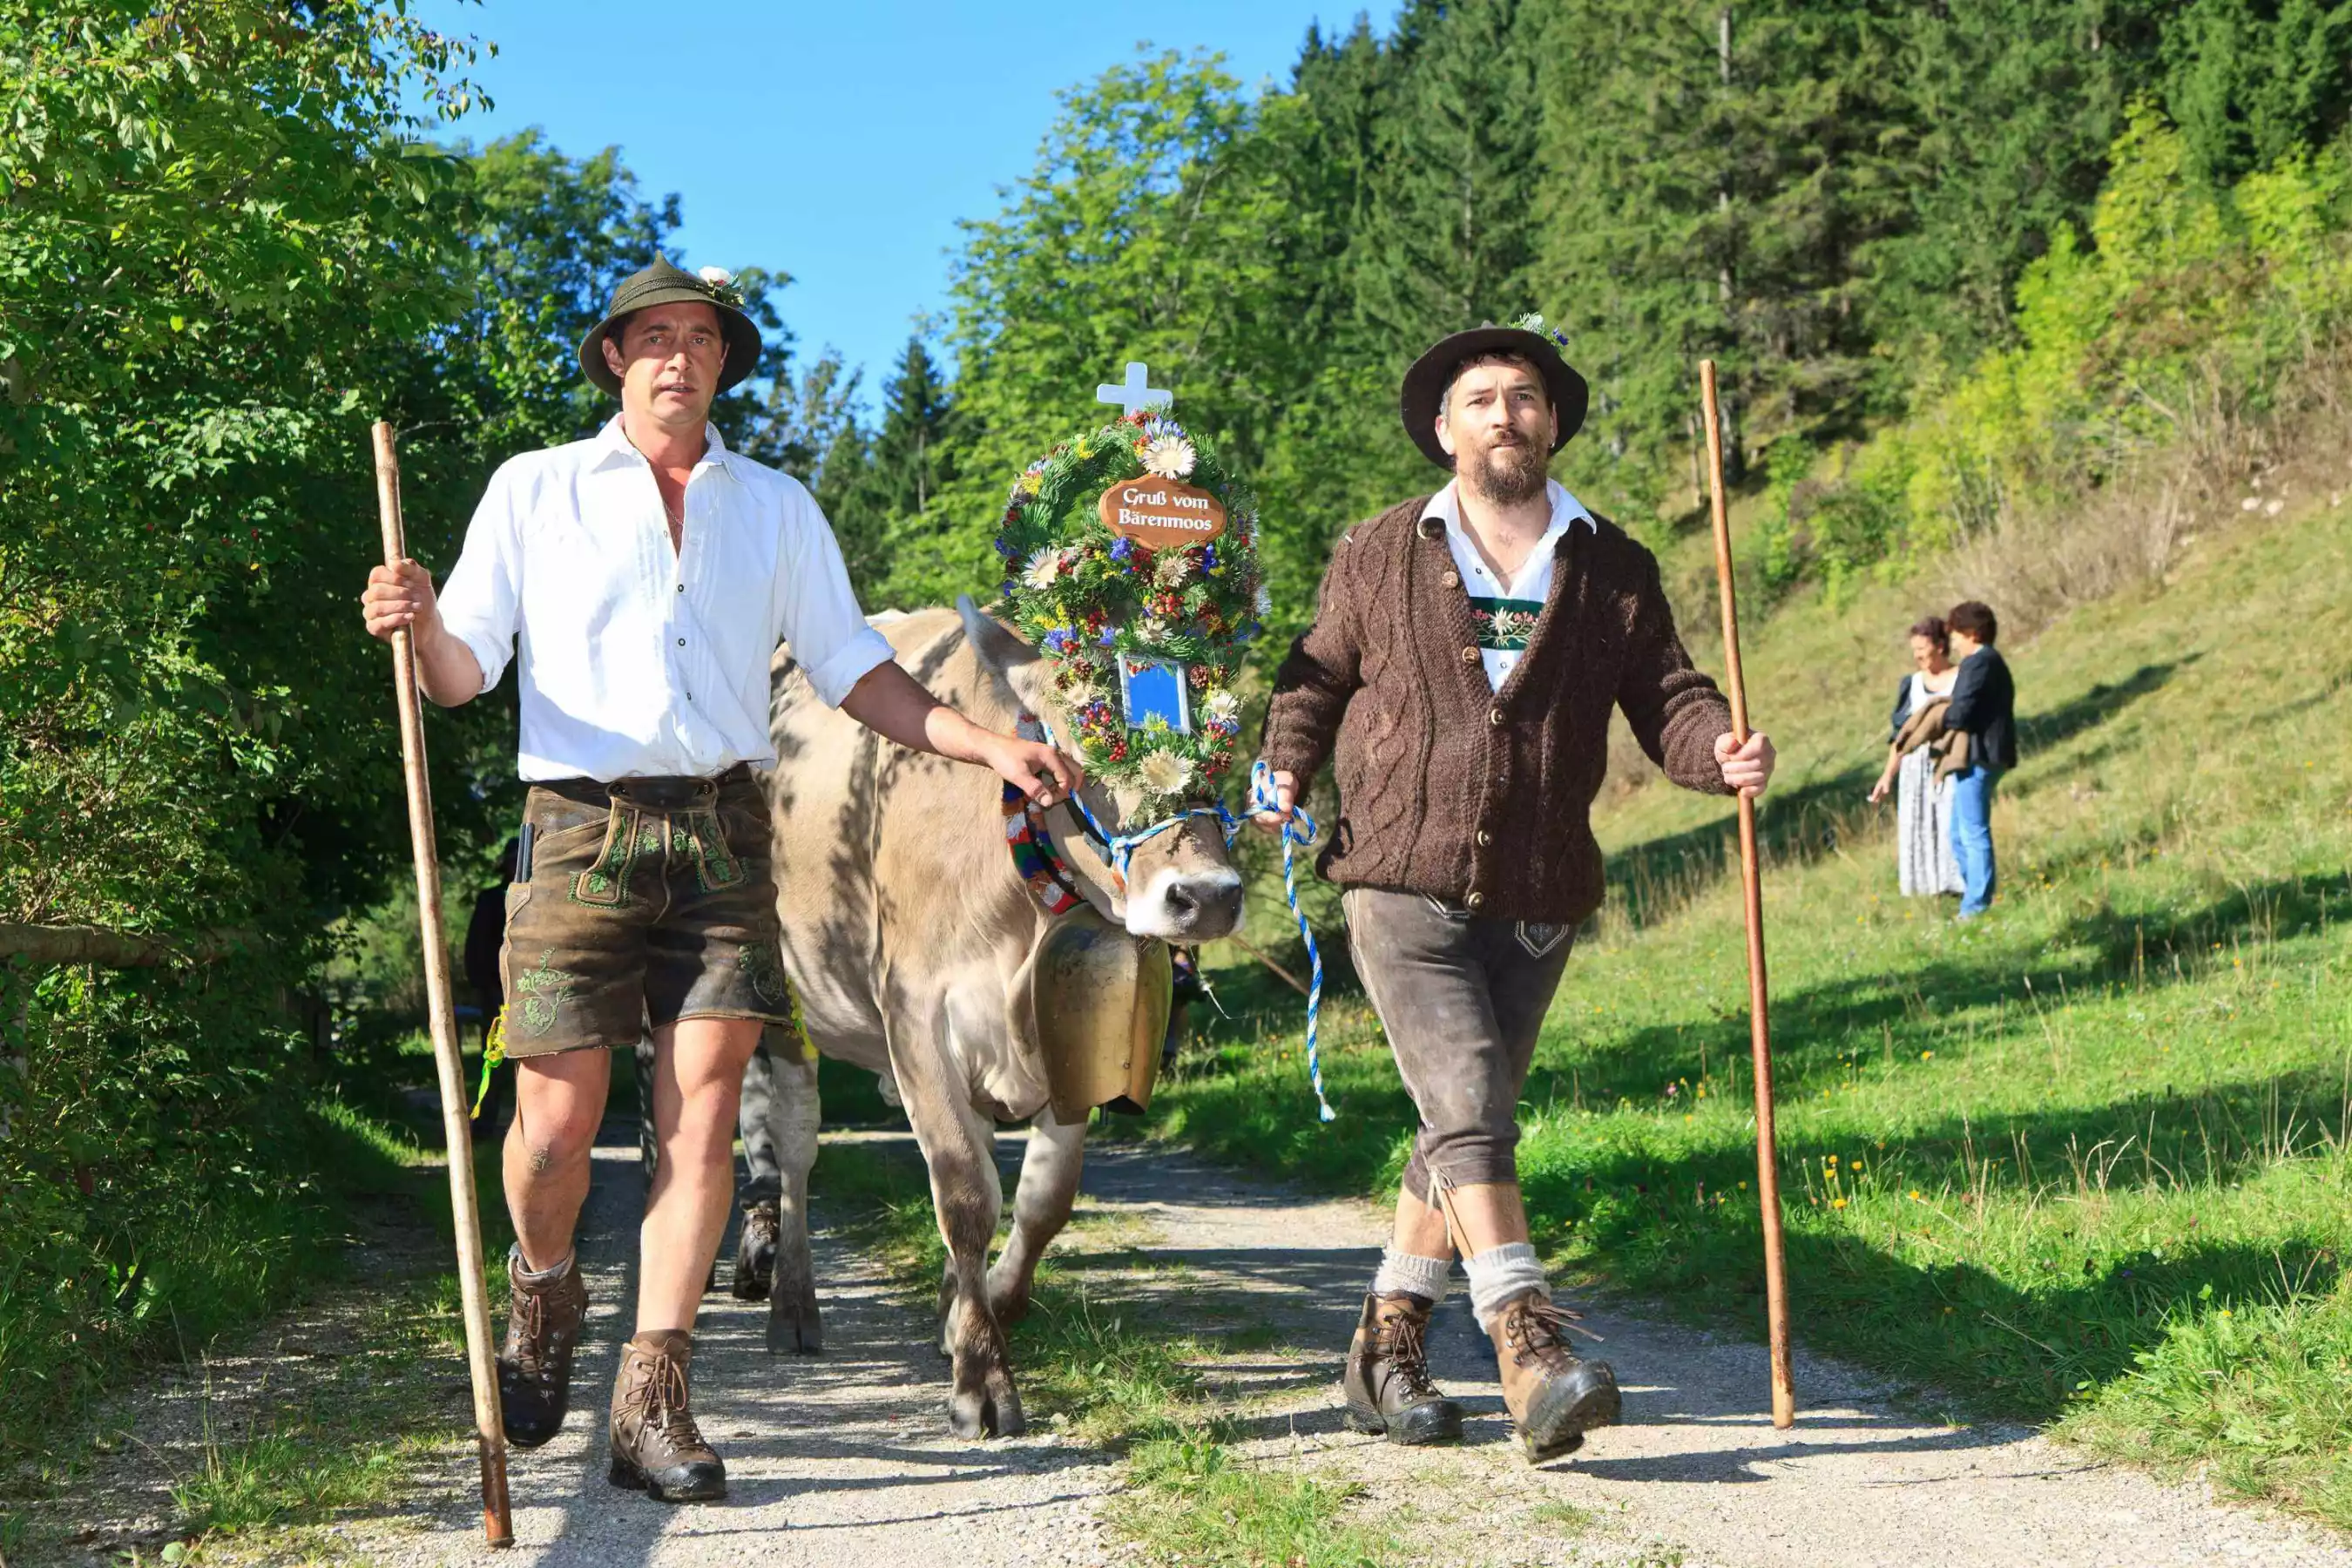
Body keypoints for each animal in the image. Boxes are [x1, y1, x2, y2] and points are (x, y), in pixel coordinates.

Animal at [761, 601, 1260, 1438]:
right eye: (1078, 750)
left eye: (1222, 754)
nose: (1208, 896)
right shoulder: (916, 1019)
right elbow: (965, 1194)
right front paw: (982, 1378)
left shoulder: (1076, 1031)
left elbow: (1042, 1201)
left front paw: (986, 1305)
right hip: (784, 1008)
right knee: (791, 1149)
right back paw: (791, 1306)